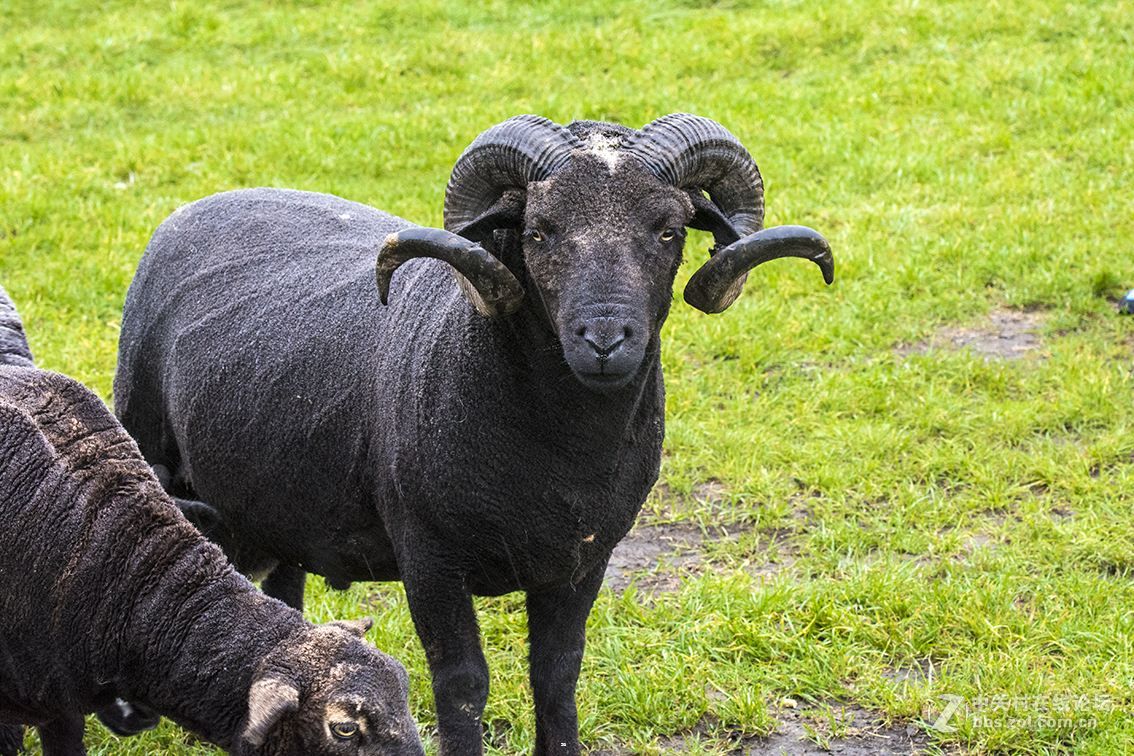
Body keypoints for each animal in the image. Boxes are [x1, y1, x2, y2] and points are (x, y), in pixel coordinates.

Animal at [115, 113, 834, 756]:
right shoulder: (429, 558)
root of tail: (201, 204)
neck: (559, 452)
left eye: (668, 230)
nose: (605, 340)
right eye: (539, 231)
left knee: (284, 591)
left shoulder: (584, 561)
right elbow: (462, 686)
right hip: (148, 443)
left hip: (280, 499)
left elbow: (557, 678)